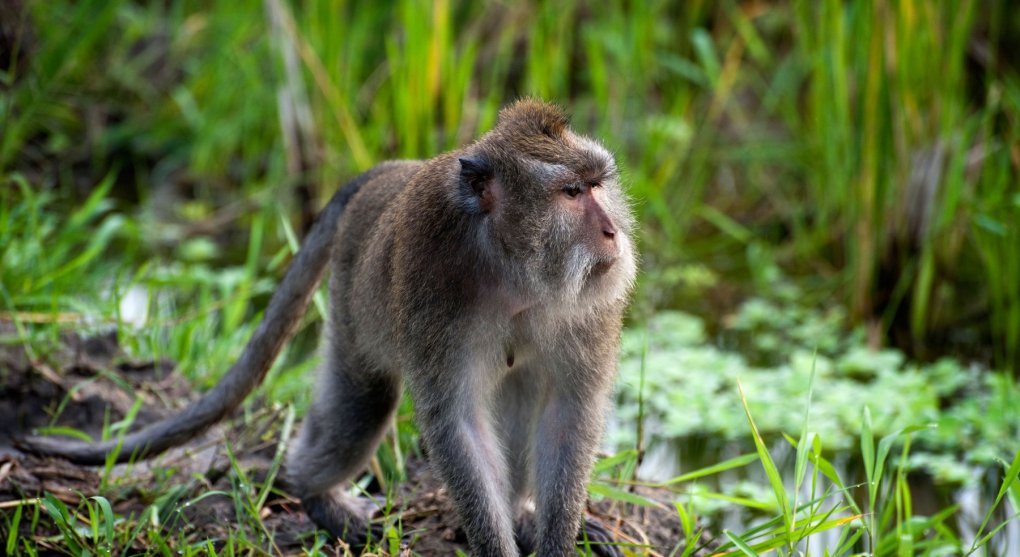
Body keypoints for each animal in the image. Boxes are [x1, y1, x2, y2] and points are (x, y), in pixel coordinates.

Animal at [19, 99, 632, 554]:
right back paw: (315, 494)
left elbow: (567, 411)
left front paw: (553, 537)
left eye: (598, 185)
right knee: (365, 401)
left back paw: (524, 514)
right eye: (571, 193)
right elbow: (459, 423)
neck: (515, 270)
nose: (612, 233)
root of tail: (391, 171)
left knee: (522, 391)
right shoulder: (433, 284)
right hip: (353, 303)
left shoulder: (589, 312)